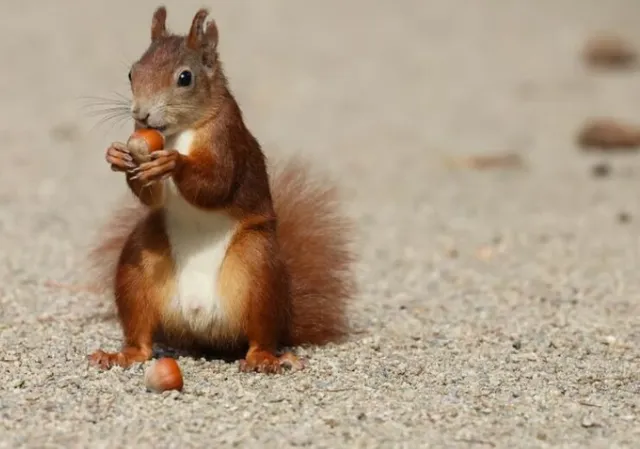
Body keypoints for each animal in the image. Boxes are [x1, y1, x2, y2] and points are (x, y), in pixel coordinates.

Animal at [87, 6, 356, 374]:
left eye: (185, 78)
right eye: (131, 72)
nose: (141, 114)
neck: (178, 132)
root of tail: (201, 324)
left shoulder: (227, 140)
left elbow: (216, 185)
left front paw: (173, 163)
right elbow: (152, 198)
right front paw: (119, 156)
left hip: (257, 268)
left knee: (261, 334)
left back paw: (263, 359)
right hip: (138, 265)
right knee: (141, 334)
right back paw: (122, 355)